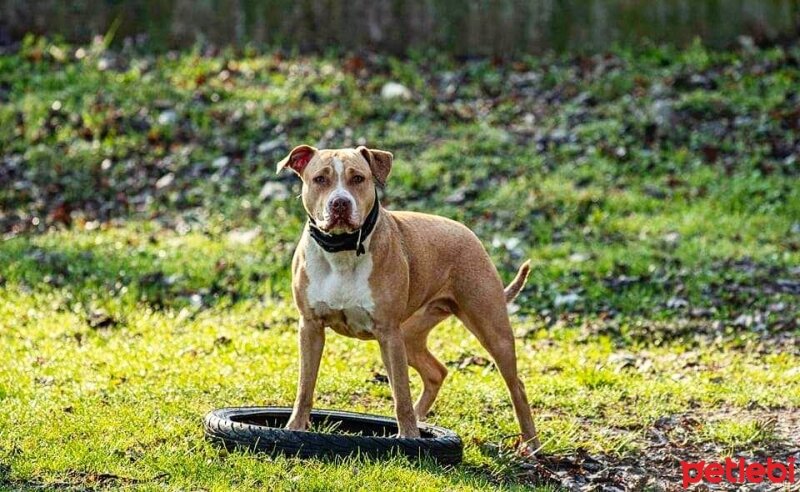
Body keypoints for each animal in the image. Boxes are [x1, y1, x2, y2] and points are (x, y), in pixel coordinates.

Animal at [278, 144, 540, 452]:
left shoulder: (388, 333)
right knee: (436, 372)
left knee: (516, 386)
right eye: (320, 179)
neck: (343, 250)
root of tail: (467, 232)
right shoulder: (310, 327)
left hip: (490, 328)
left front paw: (409, 437)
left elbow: (401, 392)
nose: (340, 203)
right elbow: (305, 386)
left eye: (358, 178)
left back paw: (531, 444)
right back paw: (420, 418)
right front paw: (294, 428)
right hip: (410, 335)